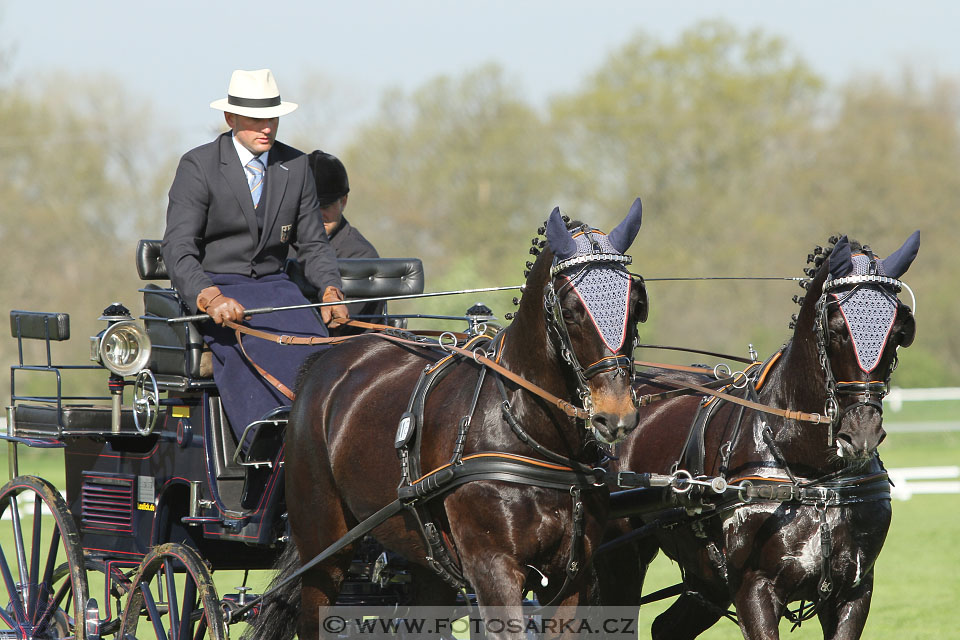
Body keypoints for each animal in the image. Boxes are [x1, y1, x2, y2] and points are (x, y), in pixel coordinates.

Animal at [251, 198, 648, 636]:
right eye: (572, 310)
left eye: (637, 304)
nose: (616, 416)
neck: (529, 434)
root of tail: (329, 357)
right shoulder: (493, 567)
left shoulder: (570, 577)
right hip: (323, 544)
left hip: (426, 555)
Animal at [600, 234, 924, 640]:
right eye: (836, 328)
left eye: (897, 332)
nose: (861, 433)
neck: (813, 473)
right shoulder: (754, 586)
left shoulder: (854, 590)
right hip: (622, 560)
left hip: (705, 577)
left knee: (667, 626)